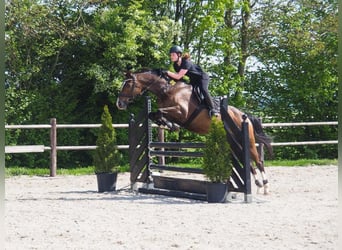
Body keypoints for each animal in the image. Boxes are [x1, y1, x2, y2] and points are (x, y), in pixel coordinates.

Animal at [116, 69, 274, 195]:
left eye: (128, 85)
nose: (119, 104)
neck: (166, 92)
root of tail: (242, 114)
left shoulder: (181, 112)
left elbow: (160, 111)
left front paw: (172, 125)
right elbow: (153, 114)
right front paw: (169, 125)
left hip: (246, 140)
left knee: (258, 161)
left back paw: (265, 187)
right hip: (234, 143)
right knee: (248, 162)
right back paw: (257, 185)